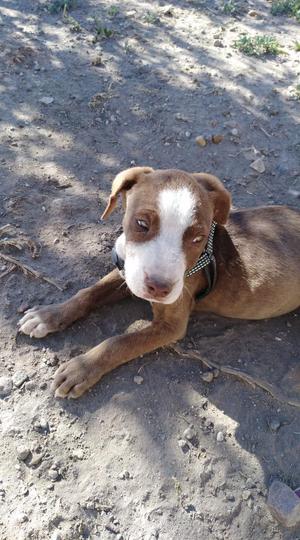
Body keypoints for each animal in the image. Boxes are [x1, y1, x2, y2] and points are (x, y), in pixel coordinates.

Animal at [18, 167, 300, 398]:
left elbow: (119, 342)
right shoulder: (126, 272)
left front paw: (81, 368)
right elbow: (88, 293)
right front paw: (48, 315)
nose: (159, 288)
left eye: (197, 238)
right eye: (142, 223)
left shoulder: (170, 326)